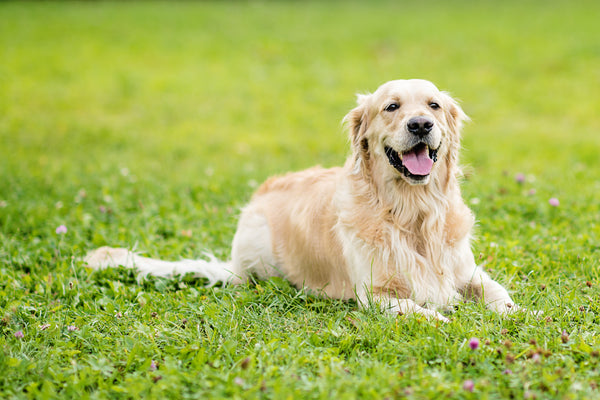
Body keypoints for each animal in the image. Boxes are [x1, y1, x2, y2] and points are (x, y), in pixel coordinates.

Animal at [85, 79, 520, 322]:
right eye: (391, 106)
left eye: (433, 105)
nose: (421, 125)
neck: (413, 213)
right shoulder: (375, 295)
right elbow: (419, 311)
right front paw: (450, 323)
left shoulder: (468, 271)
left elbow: (500, 296)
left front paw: (523, 316)